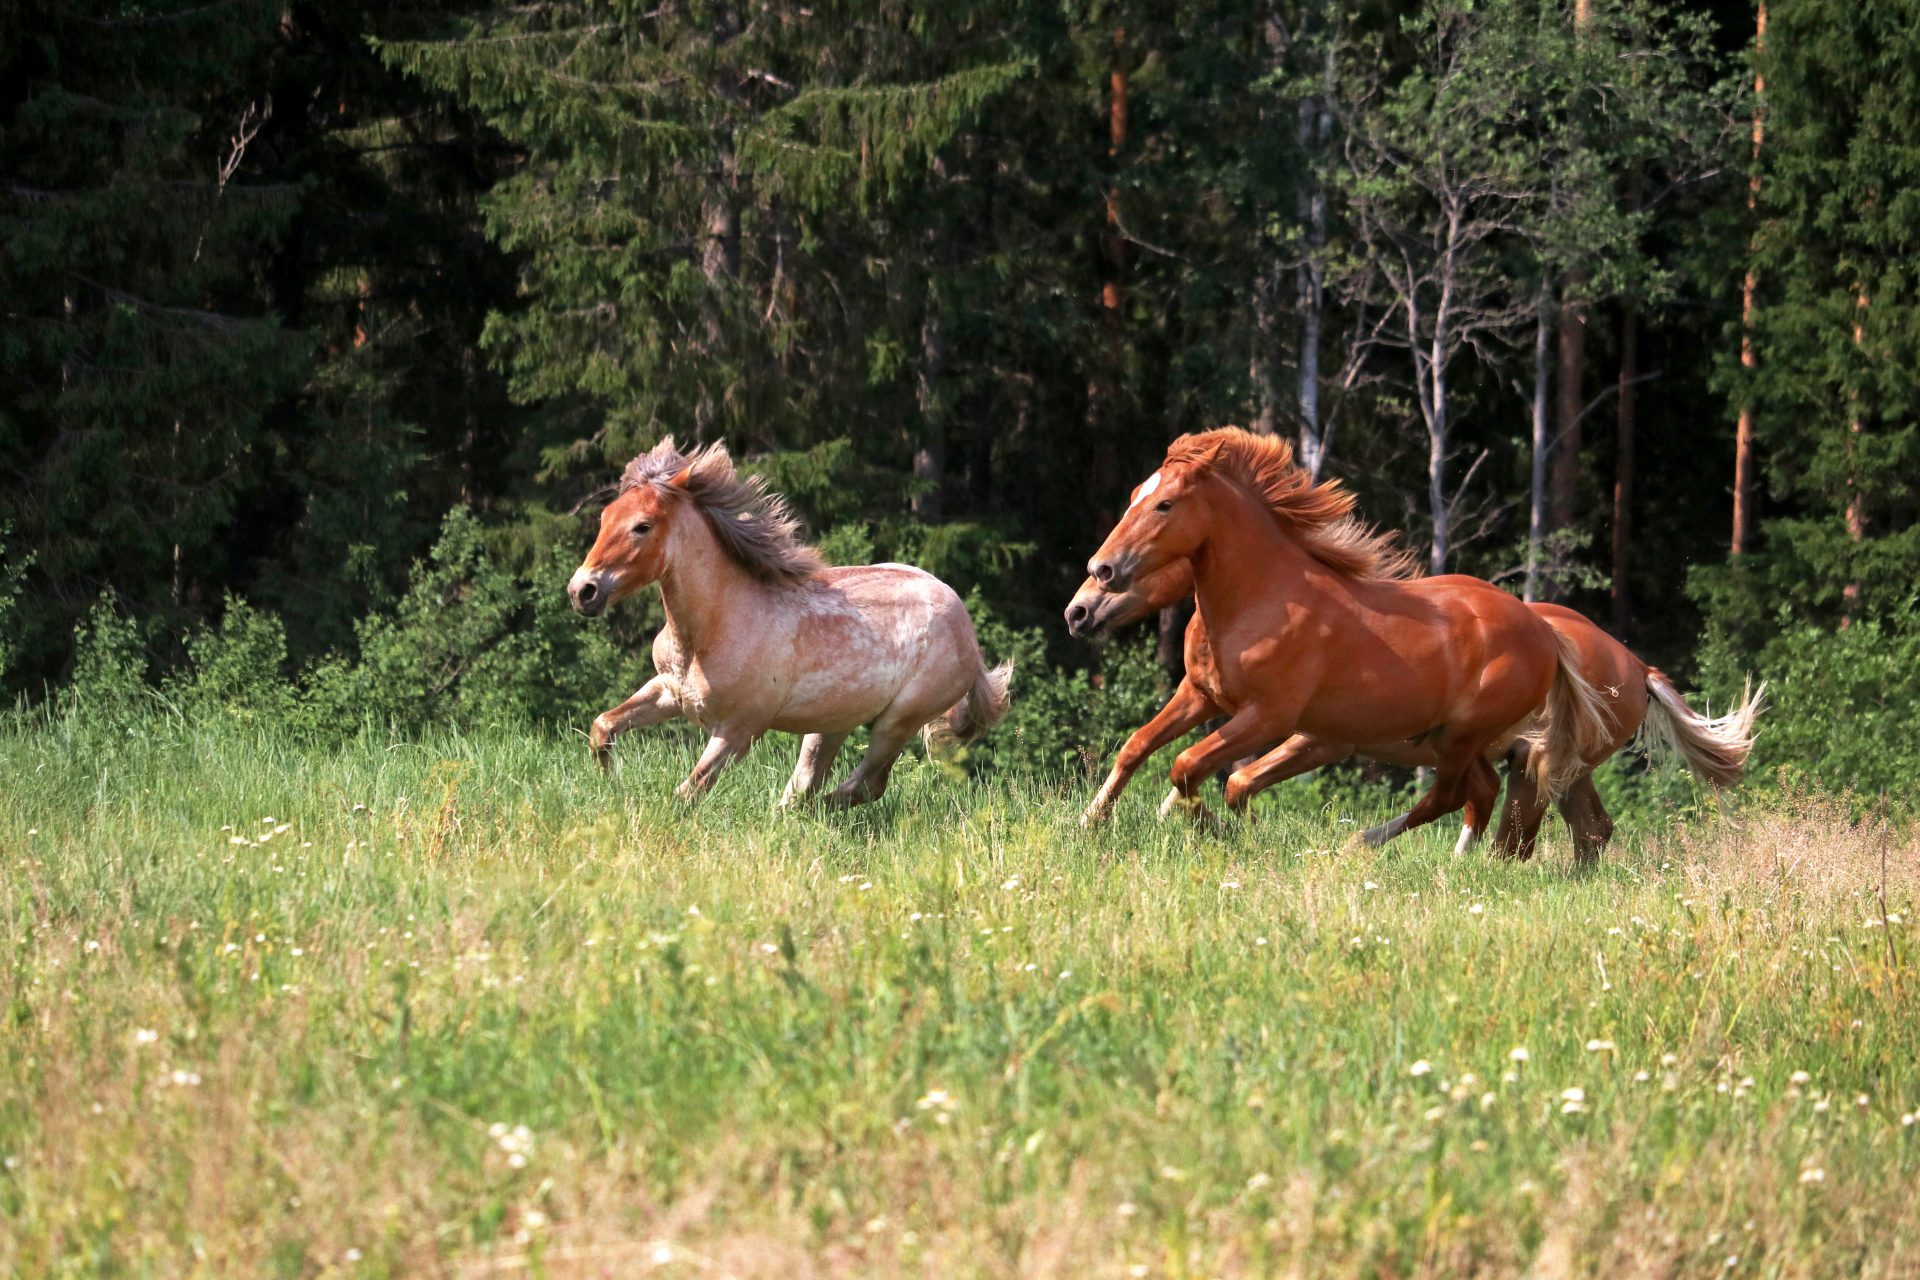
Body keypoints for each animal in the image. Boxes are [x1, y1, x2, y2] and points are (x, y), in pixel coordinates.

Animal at [560, 435, 1013, 805]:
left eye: (642, 526)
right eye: (604, 518)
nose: (583, 591)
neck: (717, 626)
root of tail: (970, 639)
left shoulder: (738, 730)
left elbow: (687, 791)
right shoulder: (669, 692)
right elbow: (603, 727)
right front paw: (611, 785)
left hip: (898, 721)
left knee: (862, 786)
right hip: (831, 724)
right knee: (811, 783)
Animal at [1059, 560, 1758, 859]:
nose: (1079, 609)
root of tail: (1637, 669)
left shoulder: (1319, 739)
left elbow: (1236, 775)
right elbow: (1219, 770)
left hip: (1535, 767)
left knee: (1513, 830)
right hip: (1558, 771)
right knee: (1584, 830)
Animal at [1090, 429, 1612, 852]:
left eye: (1165, 504)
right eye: (1135, 495)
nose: (1102, 570)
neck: (1262, 596)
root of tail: (1545, 632)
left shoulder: (1267, 716)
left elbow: (1191, 767)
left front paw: (1223, 831)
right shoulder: (1200, 695)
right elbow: (1140, 745)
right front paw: (1091, 821)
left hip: (1462, 737)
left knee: (1448, 797)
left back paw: (1357, 843)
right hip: (1451, 740)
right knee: (1477, 793)